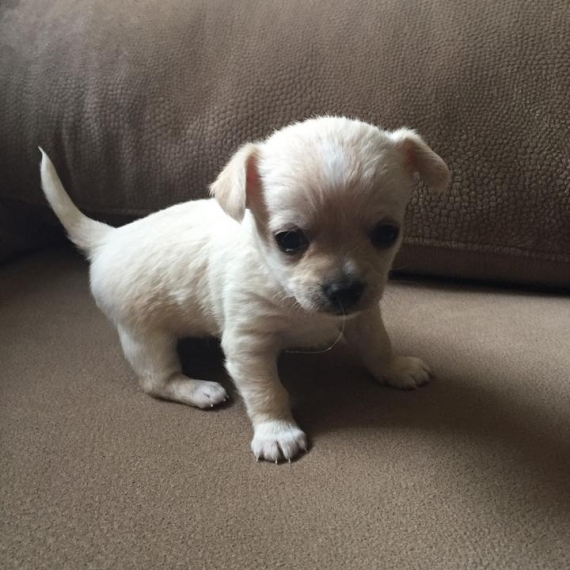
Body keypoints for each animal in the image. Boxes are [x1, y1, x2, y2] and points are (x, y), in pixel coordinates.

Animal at [39, 116, 449, 463]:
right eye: (289, 240)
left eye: (387, 233)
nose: (344, 289)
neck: (289, 294)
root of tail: (108, 237)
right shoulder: (248, 345)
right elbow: (266, 391)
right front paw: (277, 432)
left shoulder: (363, 316)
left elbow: (379, 344)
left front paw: (395, 368)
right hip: (145, 335)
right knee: (156, 380)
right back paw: (198, 389)